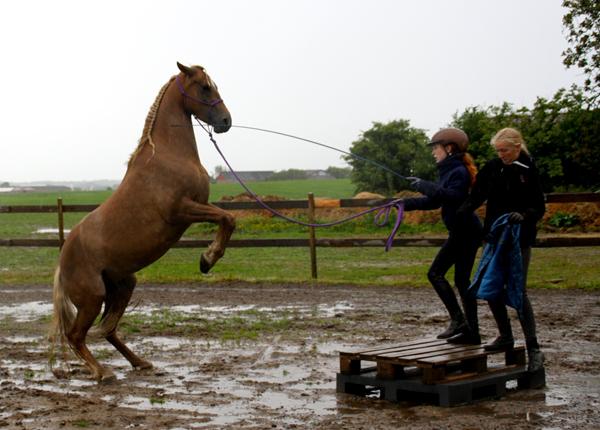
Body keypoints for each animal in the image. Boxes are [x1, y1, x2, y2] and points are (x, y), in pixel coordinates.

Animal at [51, 62, 236, 382]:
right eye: (204, 88)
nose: (226, 120)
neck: (168, 155)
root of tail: (63, 261)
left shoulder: (198, 206)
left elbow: (229, 218)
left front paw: (207, 259)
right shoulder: (182, 210)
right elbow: (227, 217)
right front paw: (207, 259)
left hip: (124, 285)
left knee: (108, 329)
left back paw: (140, 362)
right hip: (93, 296)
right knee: (77, 335)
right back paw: (102, 372)